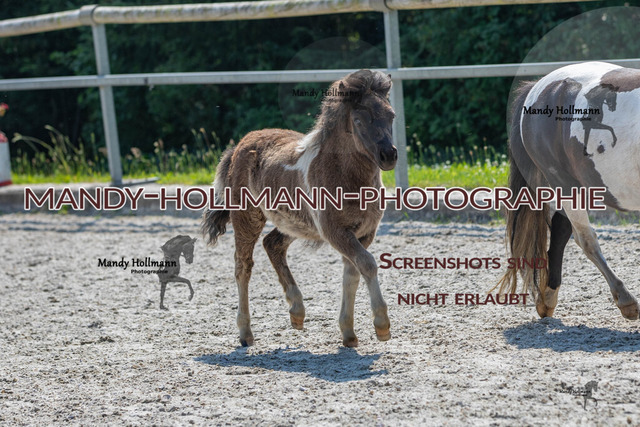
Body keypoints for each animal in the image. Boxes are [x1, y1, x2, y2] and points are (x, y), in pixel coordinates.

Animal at [202, 70, 397, 347]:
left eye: (391, 115)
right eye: (359, 121)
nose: (389, 155)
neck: (346, 175)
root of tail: (240, 144)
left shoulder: (364, 233)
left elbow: (353, 273)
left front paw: (348, 333)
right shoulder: (336, 232)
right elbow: (367, 264)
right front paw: (381, 325)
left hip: (293, 222)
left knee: (272, 244)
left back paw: (297, 311)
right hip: (247, 217)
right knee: (243, 266)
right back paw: (245, 333)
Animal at [497, 61, 640, 321]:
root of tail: (539, 87)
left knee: (562, 228)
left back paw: (547, 297)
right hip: (565, 183)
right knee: (585, 239)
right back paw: (626, 301)